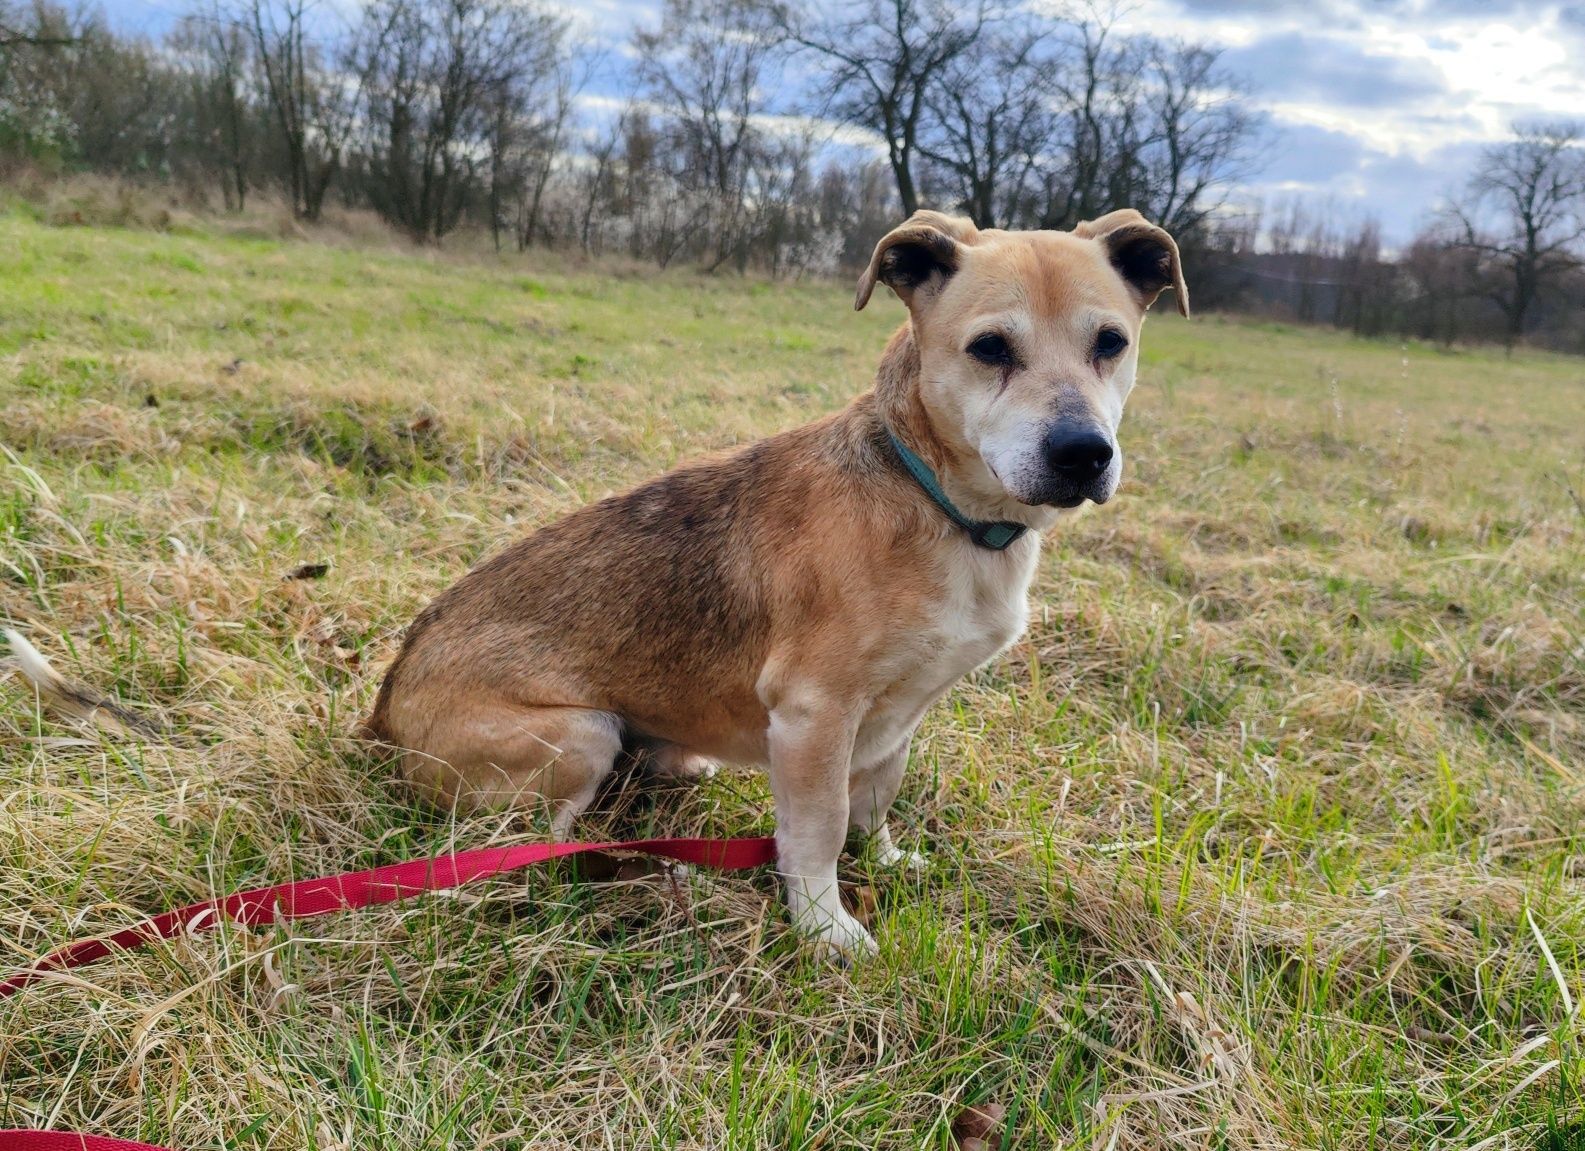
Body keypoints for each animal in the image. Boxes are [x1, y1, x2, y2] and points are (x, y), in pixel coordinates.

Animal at [367, 207, 1191, 957]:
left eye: (1110, 343)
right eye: (990, 348)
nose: (1083, 453)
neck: (935, 499)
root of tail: (382, 710)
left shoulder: (898, 716)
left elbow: (874, 802)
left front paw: (884, 863)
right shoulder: (814, 713)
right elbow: (819, 829)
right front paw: (826, 927)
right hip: (579, 733)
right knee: (529, 844)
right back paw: (625, 870)